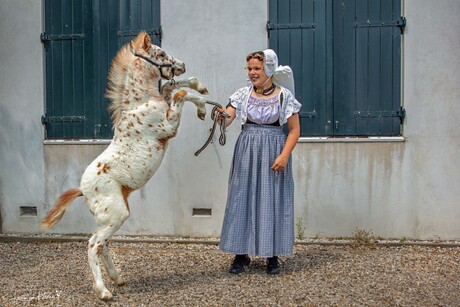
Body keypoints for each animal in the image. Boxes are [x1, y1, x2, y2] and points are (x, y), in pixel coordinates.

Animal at [41, 31, 208, 300]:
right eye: (161, 53)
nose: (181, 65)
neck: (140, 103)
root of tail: (83, 190)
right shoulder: (168, 126)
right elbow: (180, 94)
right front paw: (203, 107)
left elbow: (173, 87)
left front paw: (199, 86)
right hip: (116, 215)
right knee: (93, 245)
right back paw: (103, 291)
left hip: (109, 218)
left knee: (103, 245)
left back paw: (117, 278)